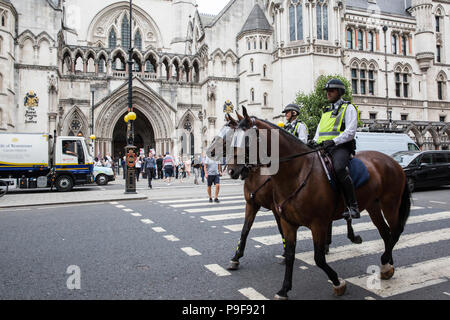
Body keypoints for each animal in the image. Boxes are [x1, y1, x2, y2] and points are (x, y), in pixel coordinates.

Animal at [229, 108, 412, 300]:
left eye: (246, 139)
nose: (232, 170)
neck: (297, 173)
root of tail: (393, 162)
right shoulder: (280, 217)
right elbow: (281, 249)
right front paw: (284, 289)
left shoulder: (317, 223)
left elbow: (318, 259)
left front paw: (338, 282)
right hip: (373, 206)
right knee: (385, 232)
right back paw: (387, 264)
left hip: (390, 203)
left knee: (396, 230)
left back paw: (383, 259)